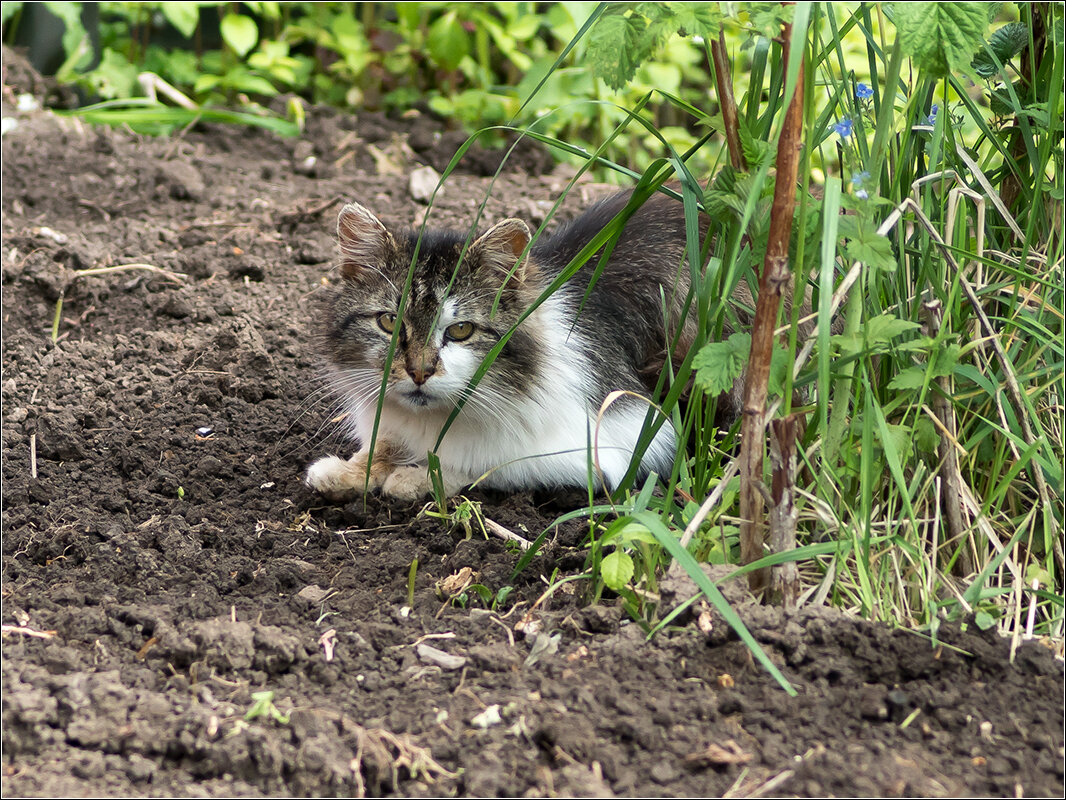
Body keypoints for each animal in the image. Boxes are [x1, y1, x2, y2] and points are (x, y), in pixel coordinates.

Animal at [304, 187, 724, 501]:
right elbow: (379, 448)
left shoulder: (628, 440)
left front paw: (415, 477)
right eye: (389, 323)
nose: (419, 372)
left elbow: (487, 464)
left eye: (461, 330)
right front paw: (345, 472)